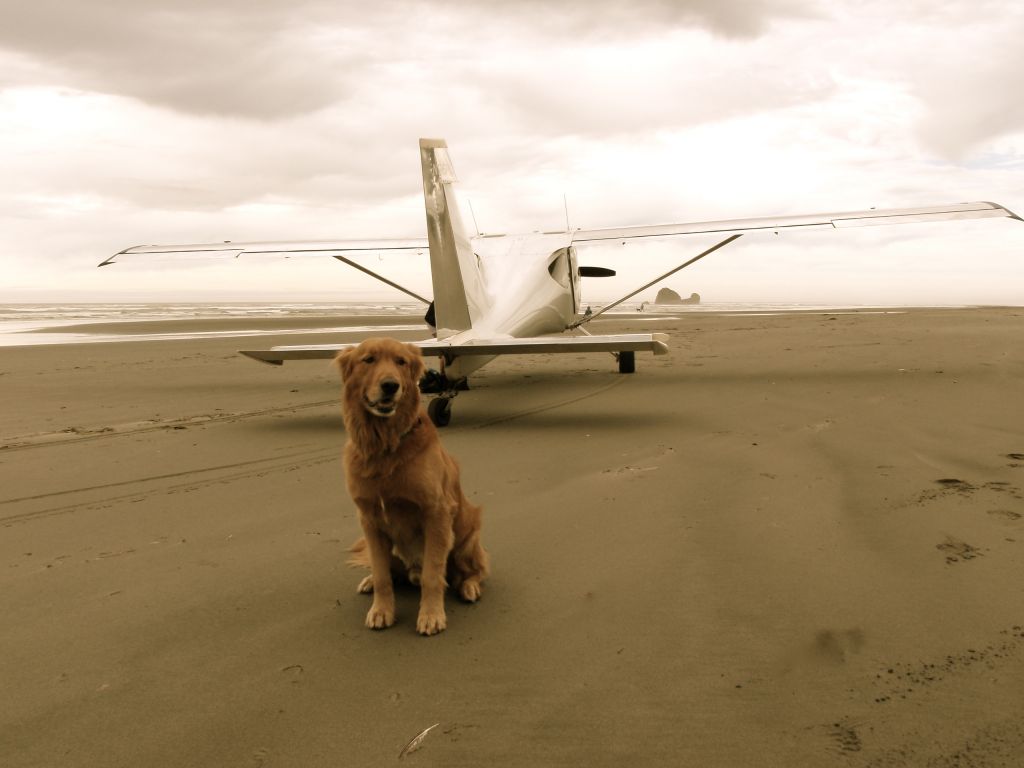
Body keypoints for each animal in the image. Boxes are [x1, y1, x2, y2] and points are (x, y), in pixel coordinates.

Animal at [335, 337, 487, 638]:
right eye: (368, 359)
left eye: (401, 362)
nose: (390, 385)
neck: (384, 446)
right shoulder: (369, 520)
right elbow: (383, 575)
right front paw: (381, 610)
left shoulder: (436, 513)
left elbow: (432, 575)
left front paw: (431, 615)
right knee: (389, 573)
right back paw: (369, 581)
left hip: (466, 536)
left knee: (473, 570)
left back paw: (469, 586)